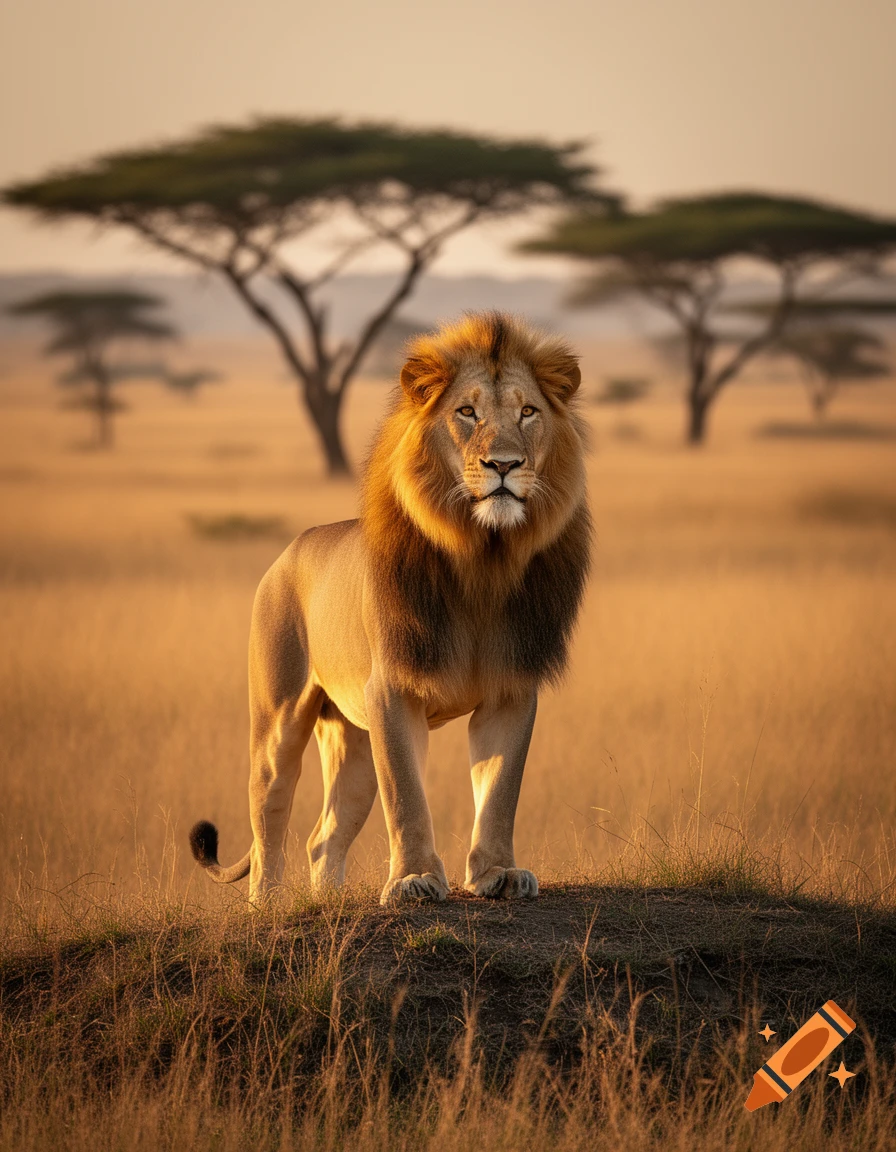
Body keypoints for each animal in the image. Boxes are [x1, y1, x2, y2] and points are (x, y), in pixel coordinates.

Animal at [189, 311, 591, 905]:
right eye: (466, 412)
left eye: (528, 412)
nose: (504, 464)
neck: (484, 561)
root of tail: (289, 551)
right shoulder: (393, 690)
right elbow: (407, 795)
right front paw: (414, 880)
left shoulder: (511, 688)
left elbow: (500, 789)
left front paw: (498, 873)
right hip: (277, 724)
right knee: (268, 829)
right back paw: (268, 906)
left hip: (353, 741)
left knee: (322, 838)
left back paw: (328, 902)